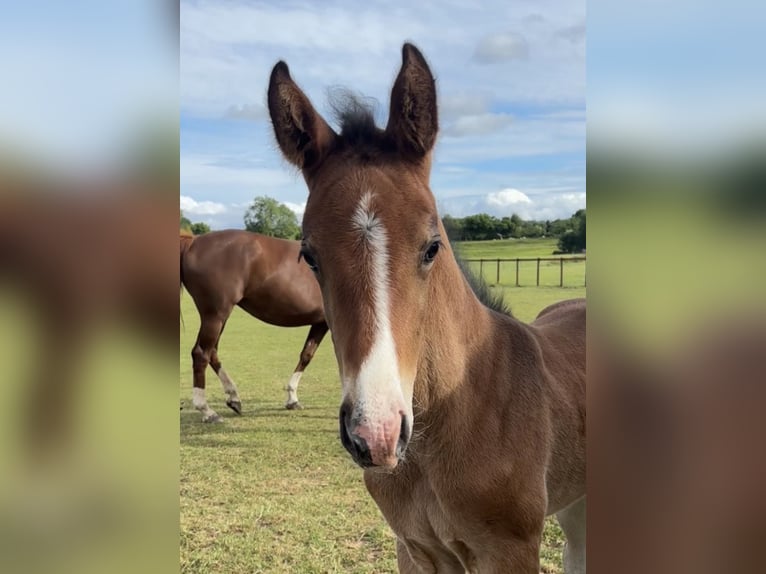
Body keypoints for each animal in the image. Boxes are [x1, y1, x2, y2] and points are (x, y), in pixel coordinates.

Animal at [180, 229, 328, 423]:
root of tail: (193, 242)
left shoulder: (321, 322)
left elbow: (306, 355)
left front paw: (292, 399)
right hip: (215, 315)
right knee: (201, 354)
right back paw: (207, 411)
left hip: (219, 317)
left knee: (211, 352)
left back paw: (234, 398)